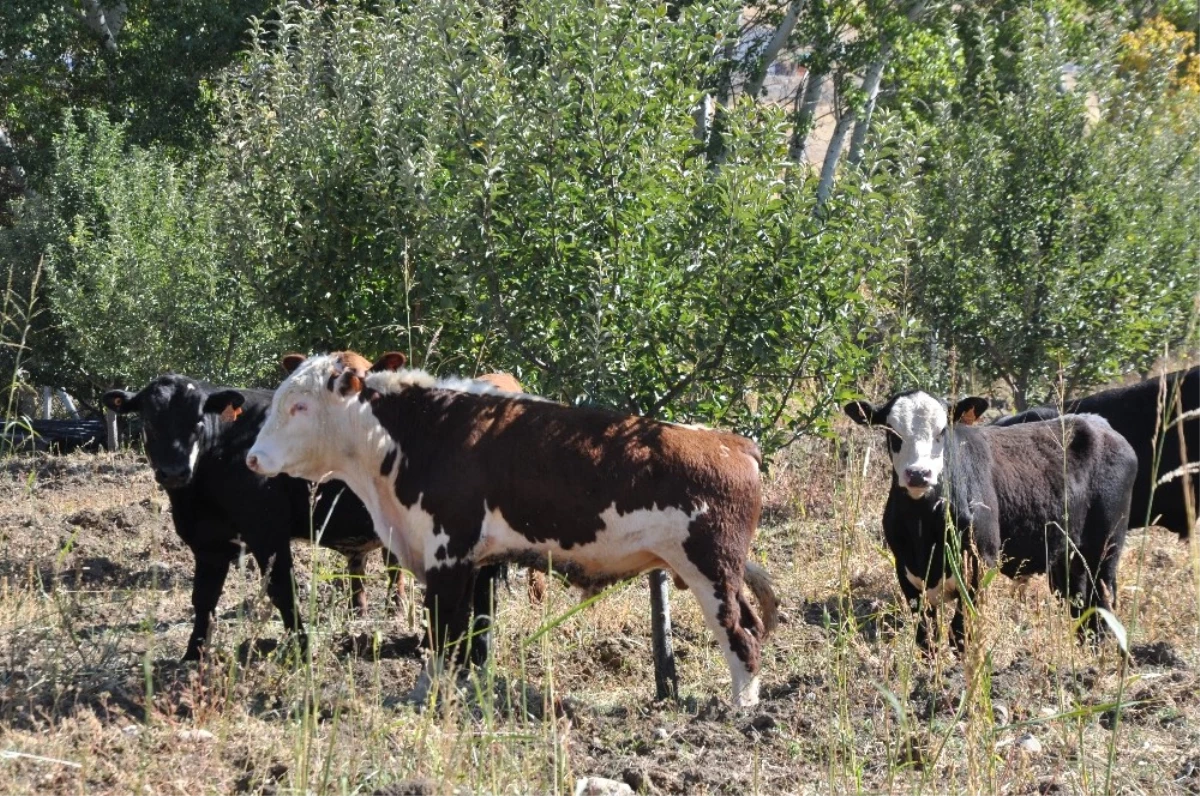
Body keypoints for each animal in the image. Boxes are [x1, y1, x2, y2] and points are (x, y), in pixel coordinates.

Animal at [103, 376, 403, 662]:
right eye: (149, 421)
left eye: (198, 422)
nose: (175, 471)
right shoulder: (207, 543)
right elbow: (203, 598)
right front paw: (192, 655)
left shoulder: (268, 533)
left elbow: (283, 591)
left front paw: (302, 650)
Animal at [243, 352, 777, 705]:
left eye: (300, 407)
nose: (253, 457)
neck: (414, 436)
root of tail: (732, 442)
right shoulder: (473, 561)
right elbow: (468, 635)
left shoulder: (447, 552)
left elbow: (442, 630)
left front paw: (425, 692)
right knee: (750, 624)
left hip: (711, 569)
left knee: (741, 635)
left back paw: (740, 712)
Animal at [844, 391, 1132, 648]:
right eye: (892, 432)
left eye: (942, 431)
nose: (918, 474)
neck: (923, 526)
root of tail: (1098, 424)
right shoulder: (907, 573)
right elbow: (926, 639)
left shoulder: (981, 566)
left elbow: (959, 635)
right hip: (1065, 556)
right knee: (1079, 602)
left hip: (1106, 549)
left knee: (1103, 600)